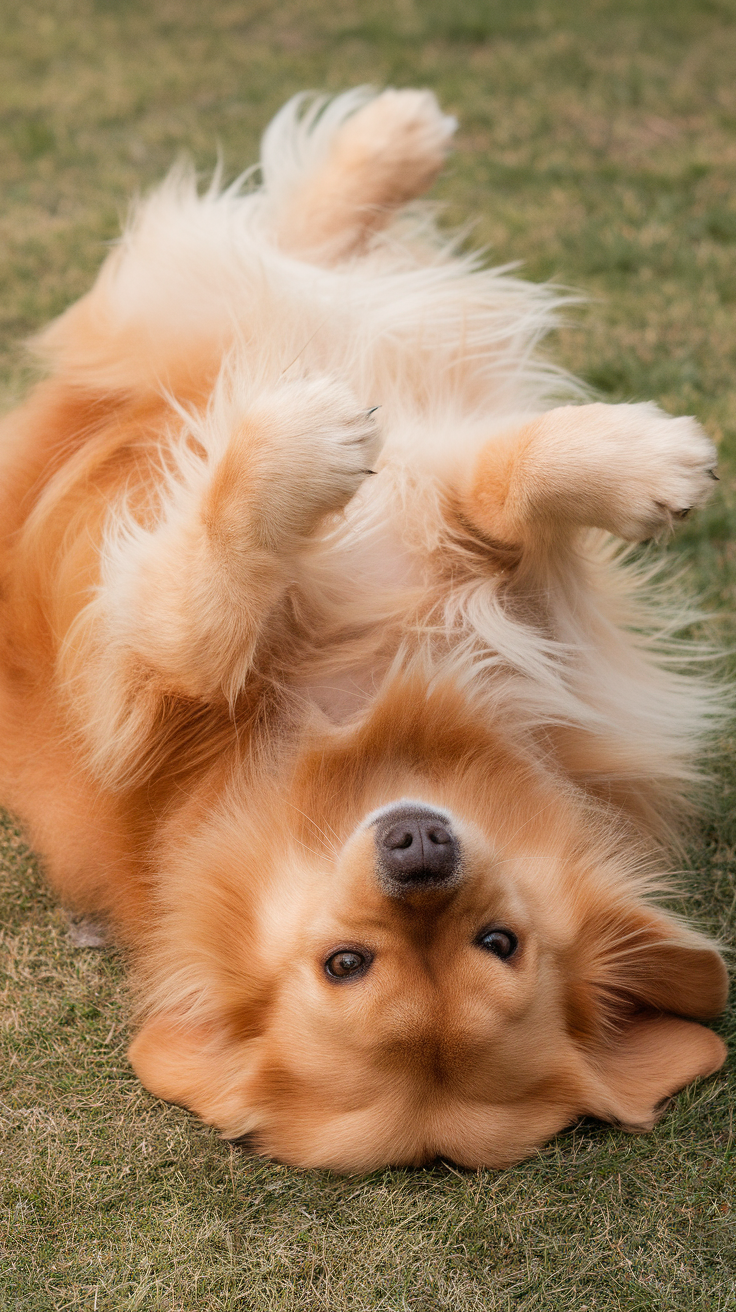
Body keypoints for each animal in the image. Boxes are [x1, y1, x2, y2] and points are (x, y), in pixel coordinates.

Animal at [0, 87, 724, 1170]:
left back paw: (388, 146)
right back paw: (385, 152)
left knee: (280, 244)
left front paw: (640, 465)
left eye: (498, 942)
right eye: (346, 964)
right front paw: (303, 447)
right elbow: (200, 623)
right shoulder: (136, 701)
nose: (417, 849)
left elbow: (494, 499)